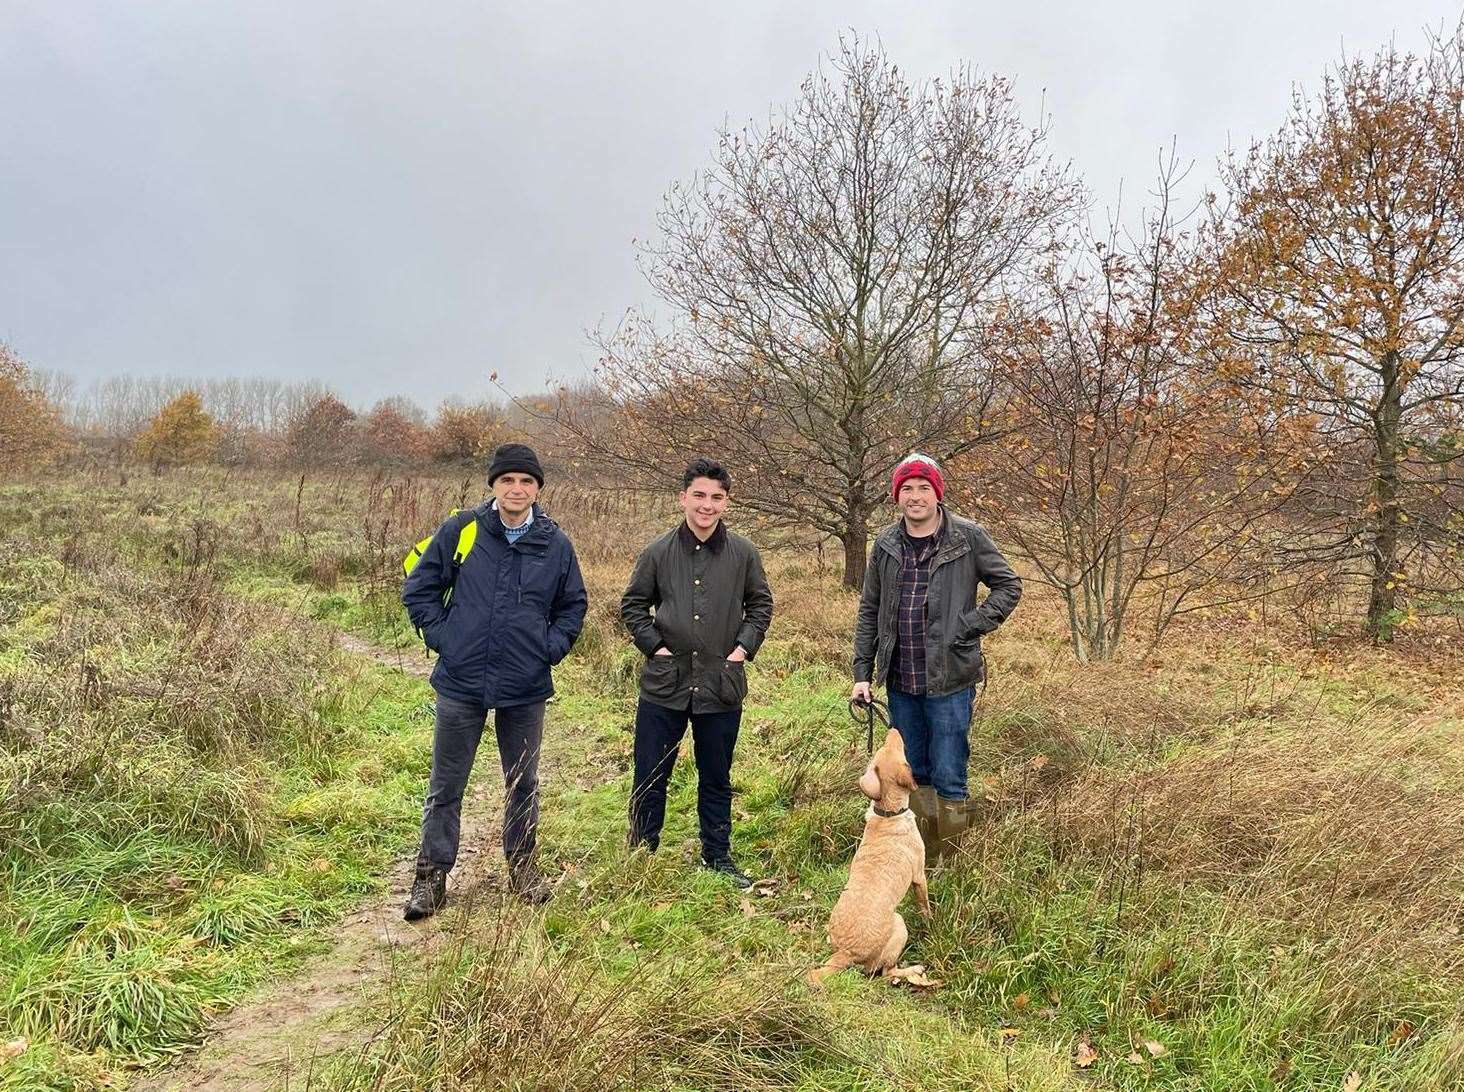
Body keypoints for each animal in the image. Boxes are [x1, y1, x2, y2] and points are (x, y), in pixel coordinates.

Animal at [808, 726, 931, 983]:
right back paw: (913, 970)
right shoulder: (919, 876)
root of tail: (845, 953)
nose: (893, 728)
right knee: (887, 972)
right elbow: (925, 906)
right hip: (899, 924)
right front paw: (931, 923)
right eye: (901, 755)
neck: (888, 813)